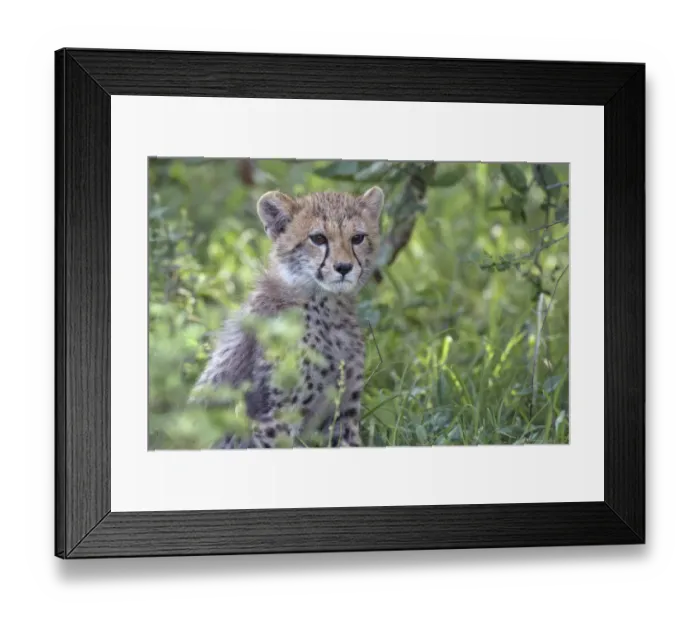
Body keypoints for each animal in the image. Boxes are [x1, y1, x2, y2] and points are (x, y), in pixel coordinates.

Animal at [189, 185, 385, 449]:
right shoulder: (275, 419)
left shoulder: (344, 414)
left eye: (358, 238)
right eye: (318, 238)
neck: (326, 305)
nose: (344, 267)